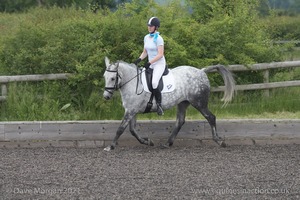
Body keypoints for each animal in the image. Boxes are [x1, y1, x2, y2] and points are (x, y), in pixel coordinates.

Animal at [103, 56, 234, 150]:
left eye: (113, 78)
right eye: (105, 76)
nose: (106, 96)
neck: (133, 82)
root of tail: (201, 71)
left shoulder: (130, 111)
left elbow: (121, 129)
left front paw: (111, 146)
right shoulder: (132, 111)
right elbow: (132, 130)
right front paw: (147, 141)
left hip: (199, 103)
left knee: (211, 117)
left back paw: (219, 141)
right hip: (183, 103)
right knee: (180, 121)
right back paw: (167, 143)